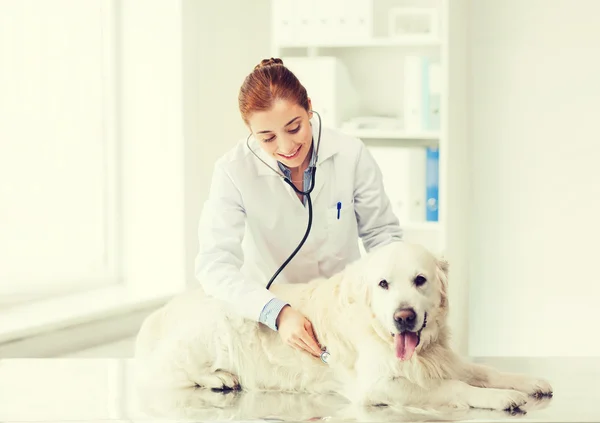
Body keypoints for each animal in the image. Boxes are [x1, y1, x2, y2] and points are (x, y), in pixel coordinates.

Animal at [136, 243, 552, 412]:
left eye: (420, 280)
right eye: (383, 284)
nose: (404, 317)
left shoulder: (442, 358)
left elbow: (484, 371)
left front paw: (527, 382)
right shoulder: (380, 385)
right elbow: (455, 387)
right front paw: (501, 398)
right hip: (215, 327)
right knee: (169, 371)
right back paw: (220, 377)